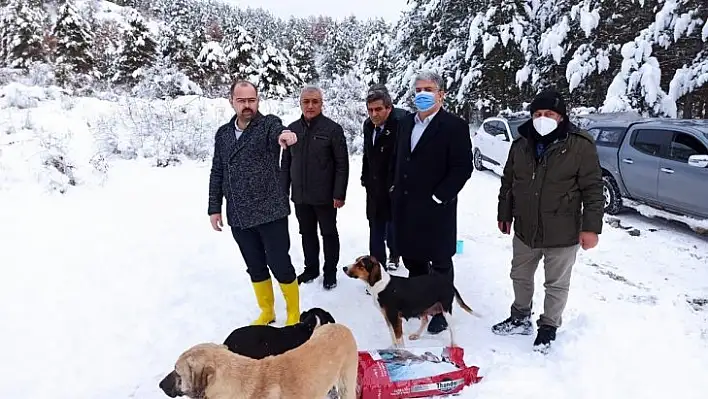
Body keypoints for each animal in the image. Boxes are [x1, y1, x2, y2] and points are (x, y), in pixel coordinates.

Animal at [342, 258, 476, 348]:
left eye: (361, 265)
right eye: (356, 260)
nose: (344, 268)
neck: (379, 284)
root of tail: (448, 282)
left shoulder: (394, 318)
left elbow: (399, 339)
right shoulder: (387, 317)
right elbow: (392, 336)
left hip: (445, 309)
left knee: (452, 328)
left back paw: (454, 344)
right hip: (423, 307)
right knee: (425, 321)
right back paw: (416, 335)